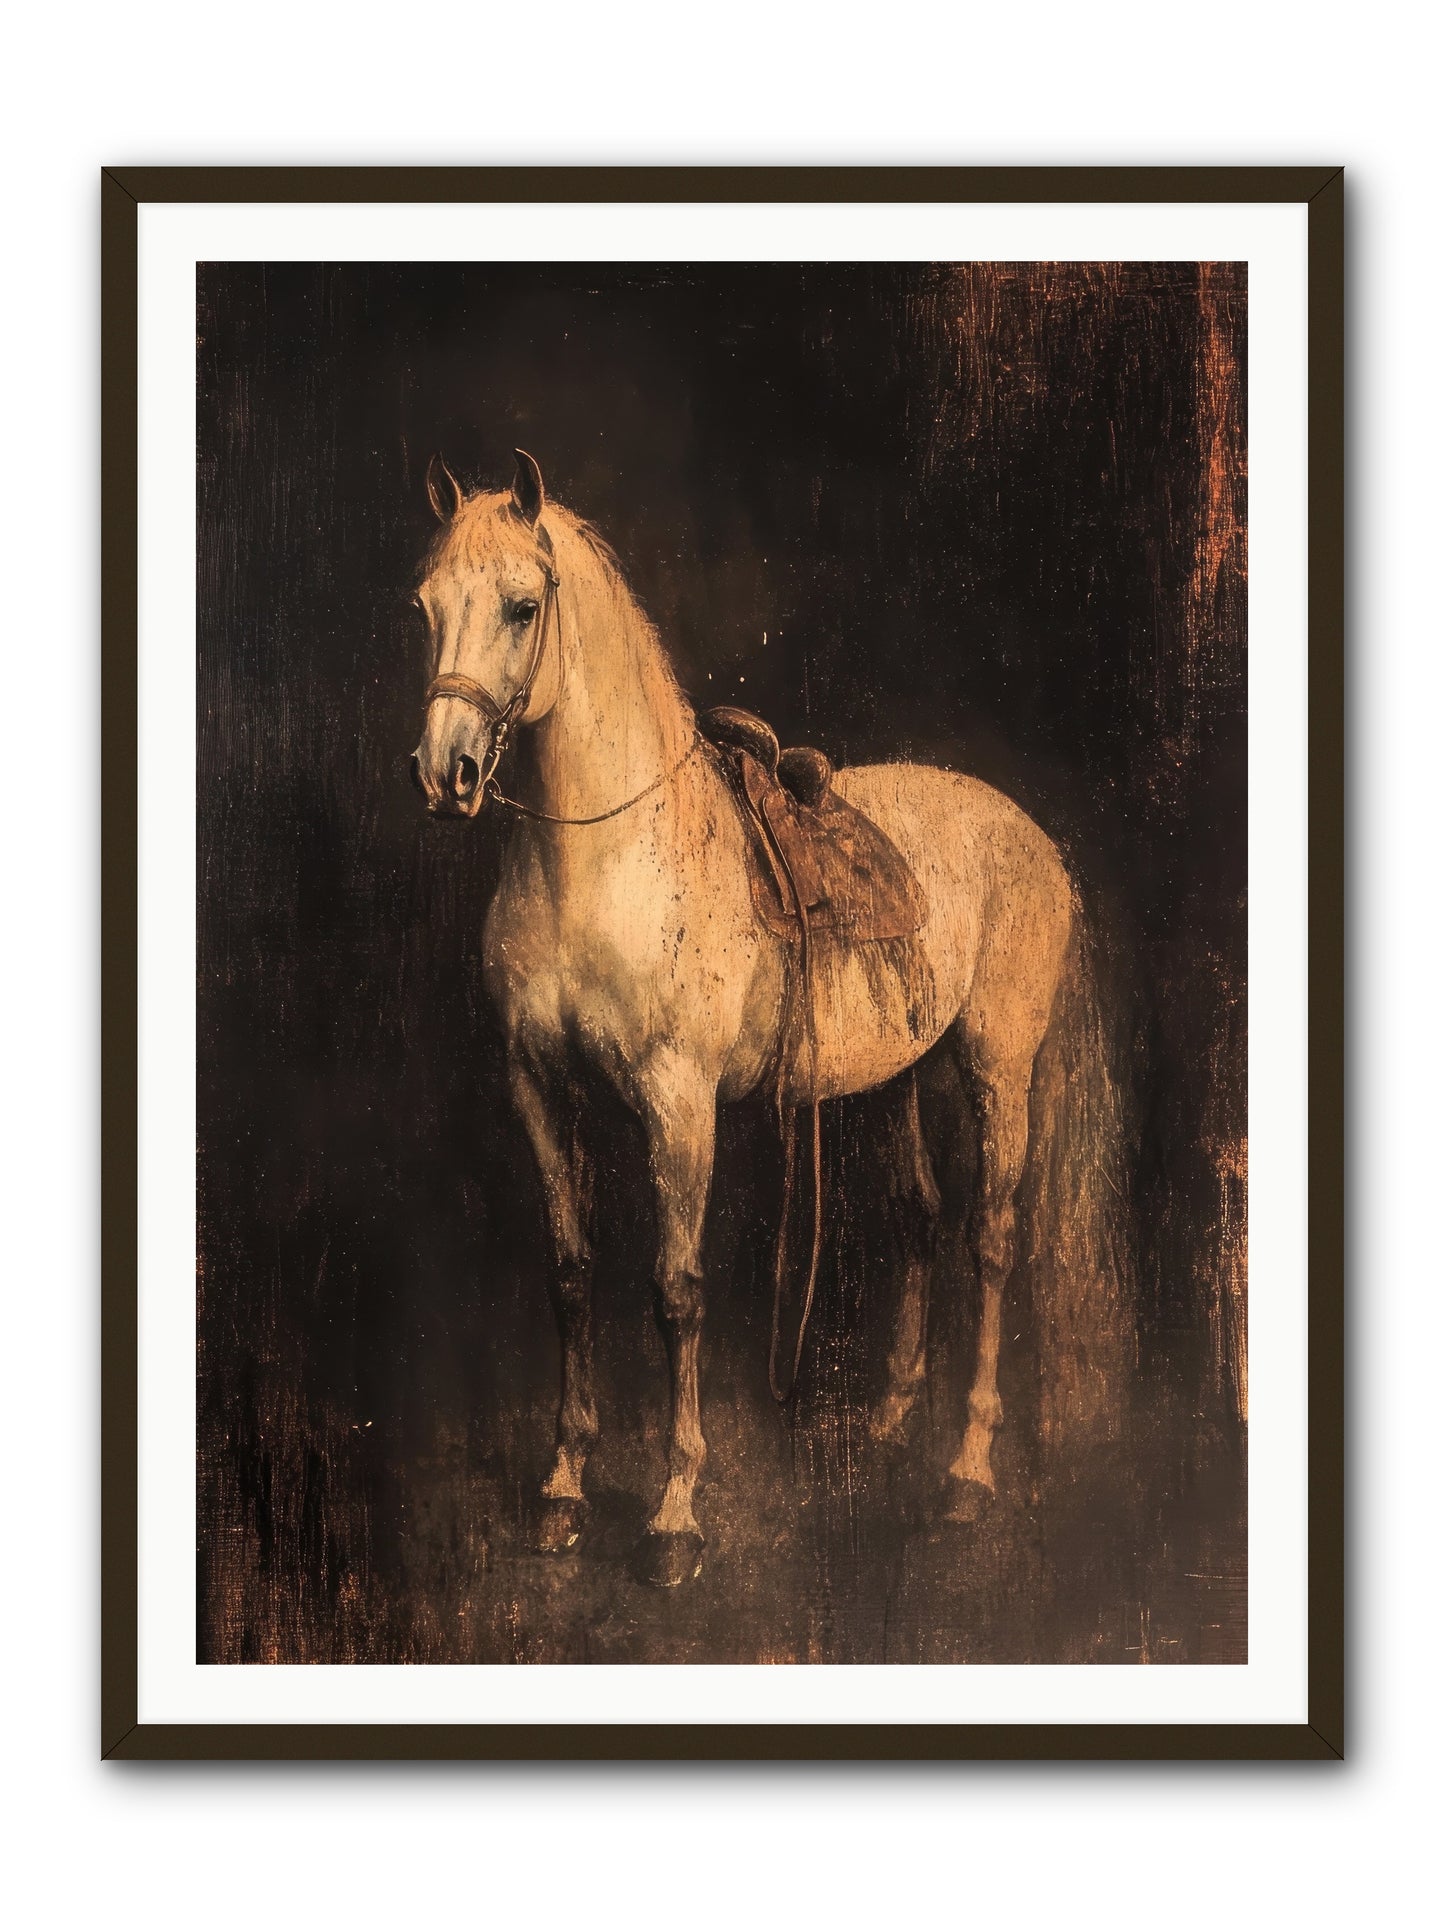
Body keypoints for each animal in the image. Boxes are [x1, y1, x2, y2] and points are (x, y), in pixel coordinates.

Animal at [410, 450, 1130, 1587]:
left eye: (523, 607)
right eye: (427, 605)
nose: (446, 775)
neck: (606, 858)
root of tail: (1029, 834)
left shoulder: (678, 1105)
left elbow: (675, 1290)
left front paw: (674, 1512)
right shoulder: (538, 1087)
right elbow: (570, 1275)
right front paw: (564, 1487)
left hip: (993, 1070)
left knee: (989, 1238)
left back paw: (967, 1468)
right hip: (895, 1079)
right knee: (920, 1219)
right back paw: (887, 1418)